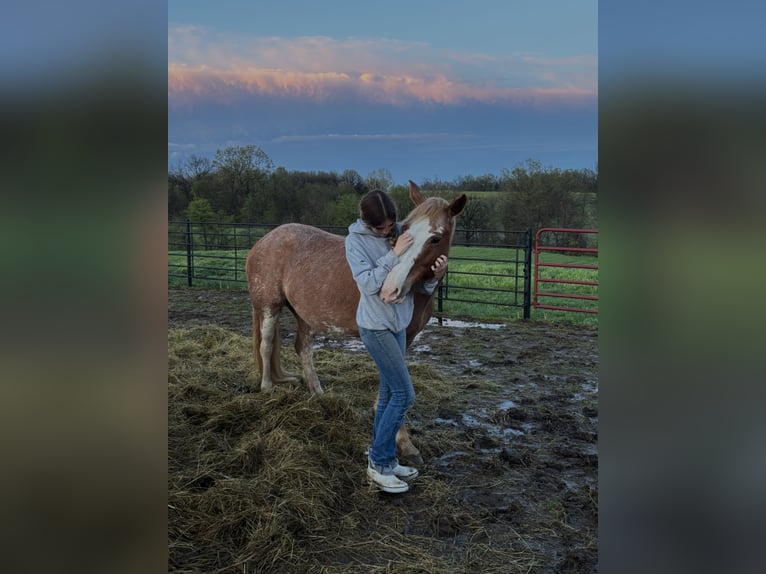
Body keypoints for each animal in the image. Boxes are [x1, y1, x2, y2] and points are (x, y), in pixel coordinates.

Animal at [245, 181, 467, 465]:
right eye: (405, 230)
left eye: (435, 238)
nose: (391, 289)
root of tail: (263, 241)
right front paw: (405, 443)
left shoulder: (404, 338)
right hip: (269, 307)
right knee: (266, 345)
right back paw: (267, 388)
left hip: (305, 315)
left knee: (302, 348)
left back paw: (319, 395)